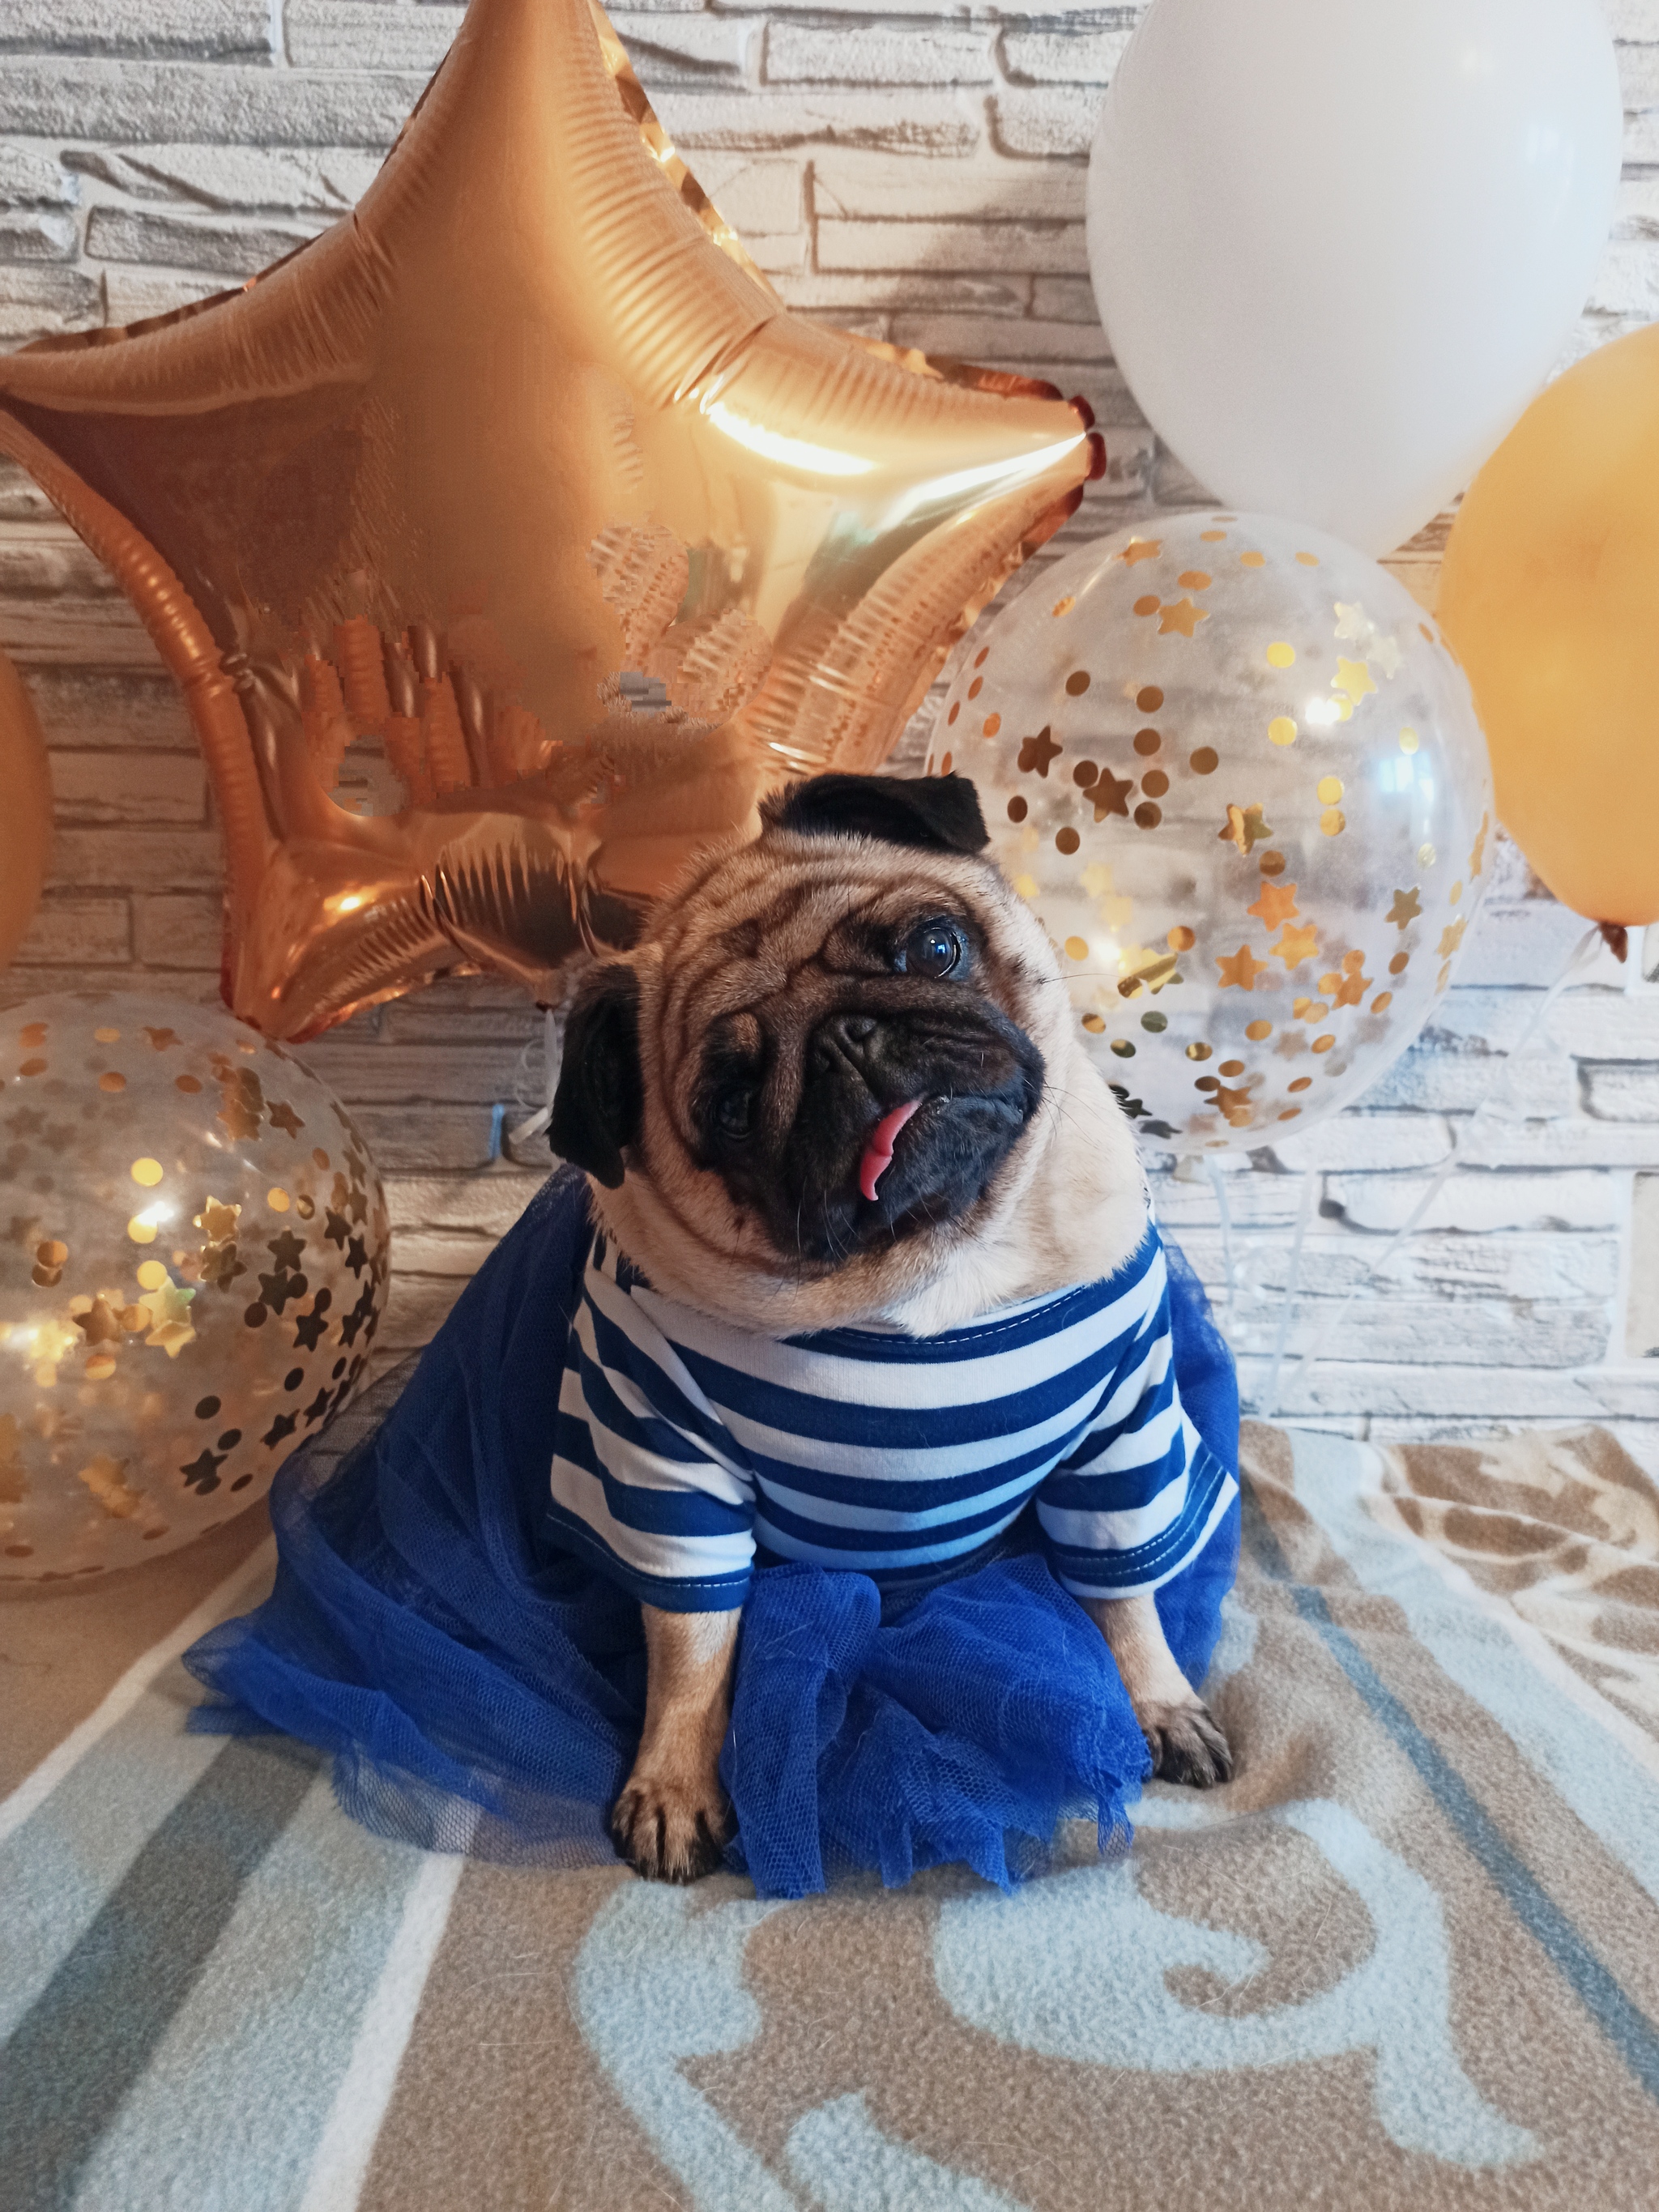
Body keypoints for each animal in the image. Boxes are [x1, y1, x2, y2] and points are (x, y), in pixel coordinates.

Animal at [547, 771, 1236, 1882]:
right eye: (730, 1106)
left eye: (933, 947)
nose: (845, 1039)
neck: (936, 1264)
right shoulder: (664, 1465)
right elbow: (692, 1640)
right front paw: (673, 1781)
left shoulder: (1120, 1433)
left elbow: (1125, 1585)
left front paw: (1158, 1700)